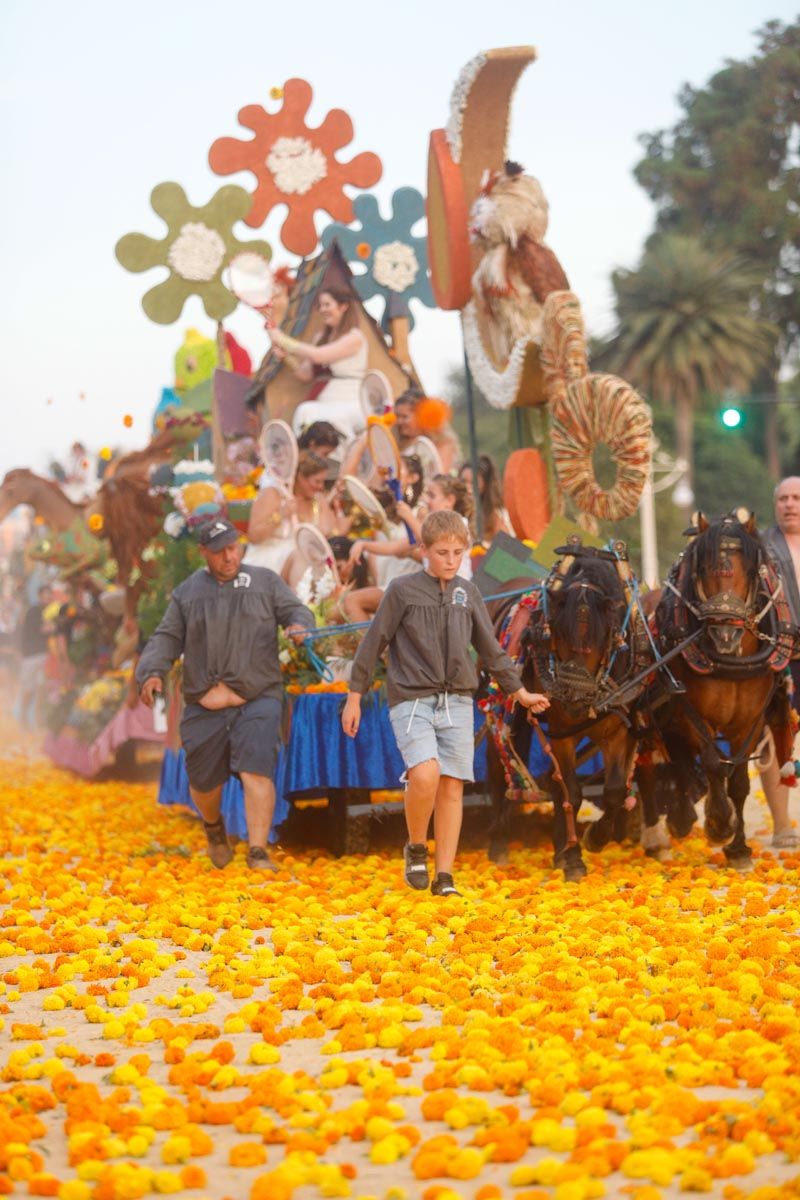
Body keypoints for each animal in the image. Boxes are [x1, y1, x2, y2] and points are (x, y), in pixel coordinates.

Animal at [652, 511, 796, 868]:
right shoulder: (692, 715)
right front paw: (719, 824)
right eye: (703, 569)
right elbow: (713, 764)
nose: (725, 635)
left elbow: (741, 781)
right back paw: (682, 817)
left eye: (751, 570)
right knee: (680, 759)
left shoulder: (750, 720)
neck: (733, 661)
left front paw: (740, 848)